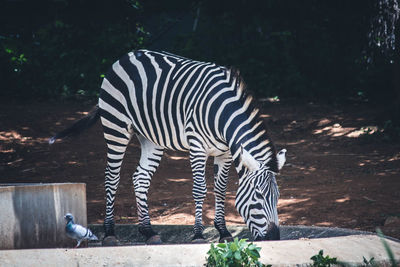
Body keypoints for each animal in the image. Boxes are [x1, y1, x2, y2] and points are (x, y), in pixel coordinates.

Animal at [50, 49, 286, 245]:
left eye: (277, 197)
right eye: (258, 196)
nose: (274, 238)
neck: (222, 115)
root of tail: (127, 55)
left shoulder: (225, 153)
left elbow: (220, 190)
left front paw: (224, 232)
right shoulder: (197, 147)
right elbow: (199, 189)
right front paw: (198, 234)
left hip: (150, 138)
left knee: (140, 178)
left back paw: (148, 231)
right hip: (115, 127)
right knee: (111, 177)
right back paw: (110, 233)